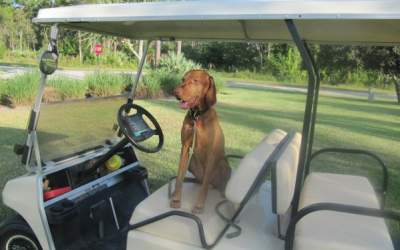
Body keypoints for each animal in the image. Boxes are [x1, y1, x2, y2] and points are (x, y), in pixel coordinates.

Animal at [170, 69, 231, 214]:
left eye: (196, 80)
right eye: (183, 79)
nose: (175, 92)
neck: (197, 116)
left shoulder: (211, 154)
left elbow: (203, 188)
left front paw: (199, 206)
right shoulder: (185, 148)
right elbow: (179, 177)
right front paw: (176, 199)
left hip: (223, 164)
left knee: (214, 183)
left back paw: (223, 191)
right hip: (191, 162)